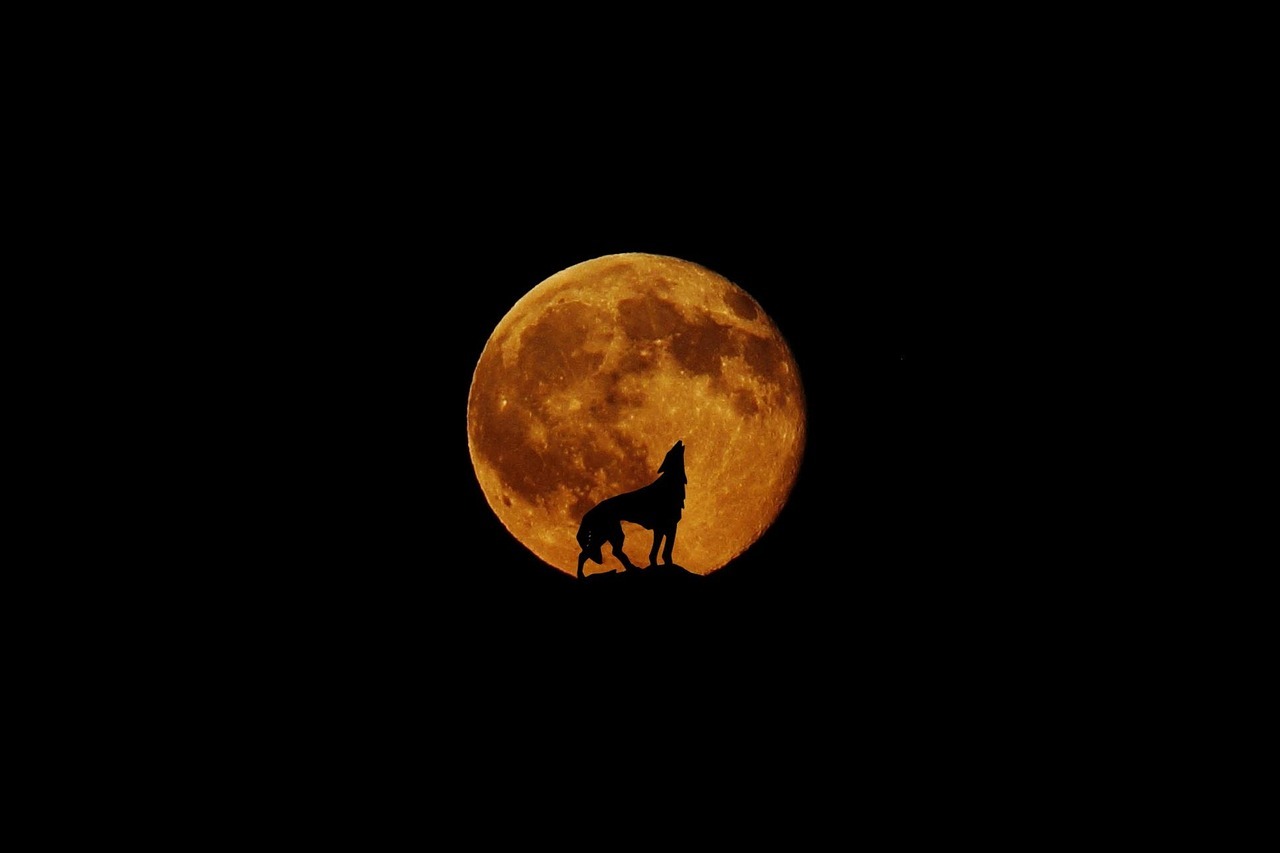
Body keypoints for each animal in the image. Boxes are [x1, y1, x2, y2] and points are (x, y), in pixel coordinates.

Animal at [576, 440, 686, 579]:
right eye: (670, 452)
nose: (679, 441)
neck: (670, 485)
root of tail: (587, 514)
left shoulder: (663, 529)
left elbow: (658, 551)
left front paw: (655, 565)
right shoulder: (667, 527)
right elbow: (664, 552)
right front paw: (665, 565)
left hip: (609, 535)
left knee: (608, 552)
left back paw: (631, 568)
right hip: (607, 535)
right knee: (588, 553)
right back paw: (582, 575)